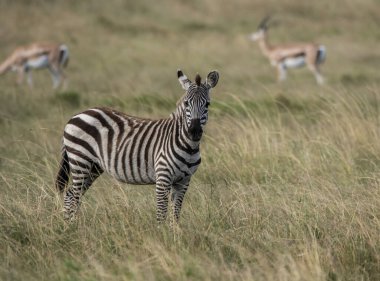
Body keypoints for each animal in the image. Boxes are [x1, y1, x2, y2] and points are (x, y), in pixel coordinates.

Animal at [55, 69, 218, 221]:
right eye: (186, 103)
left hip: (93, 166)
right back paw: (71, 226)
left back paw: (71, 225)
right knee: (73, 196)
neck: (189, 147)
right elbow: (161, 213)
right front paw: (161, 232)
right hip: (80, 161)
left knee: (72, 195)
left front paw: (175, 232)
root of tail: (76, 115)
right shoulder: (163, 177)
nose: (194, 132)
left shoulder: (184, 181)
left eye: (207, 104)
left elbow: (175, 213)